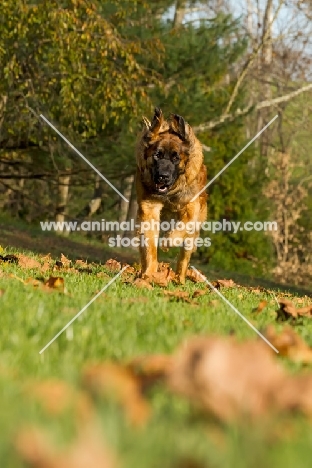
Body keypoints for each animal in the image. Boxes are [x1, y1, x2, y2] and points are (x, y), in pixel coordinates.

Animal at [136, 108, 207, 284]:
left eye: (176, 158)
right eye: (157, 155)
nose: (163, 177)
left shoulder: (190, 208)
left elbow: (181, 228)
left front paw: (168, 241)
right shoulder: (149, 208)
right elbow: (149, 246)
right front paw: (149, 272)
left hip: (192, 234)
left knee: (184, 258)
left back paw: (179, 279)